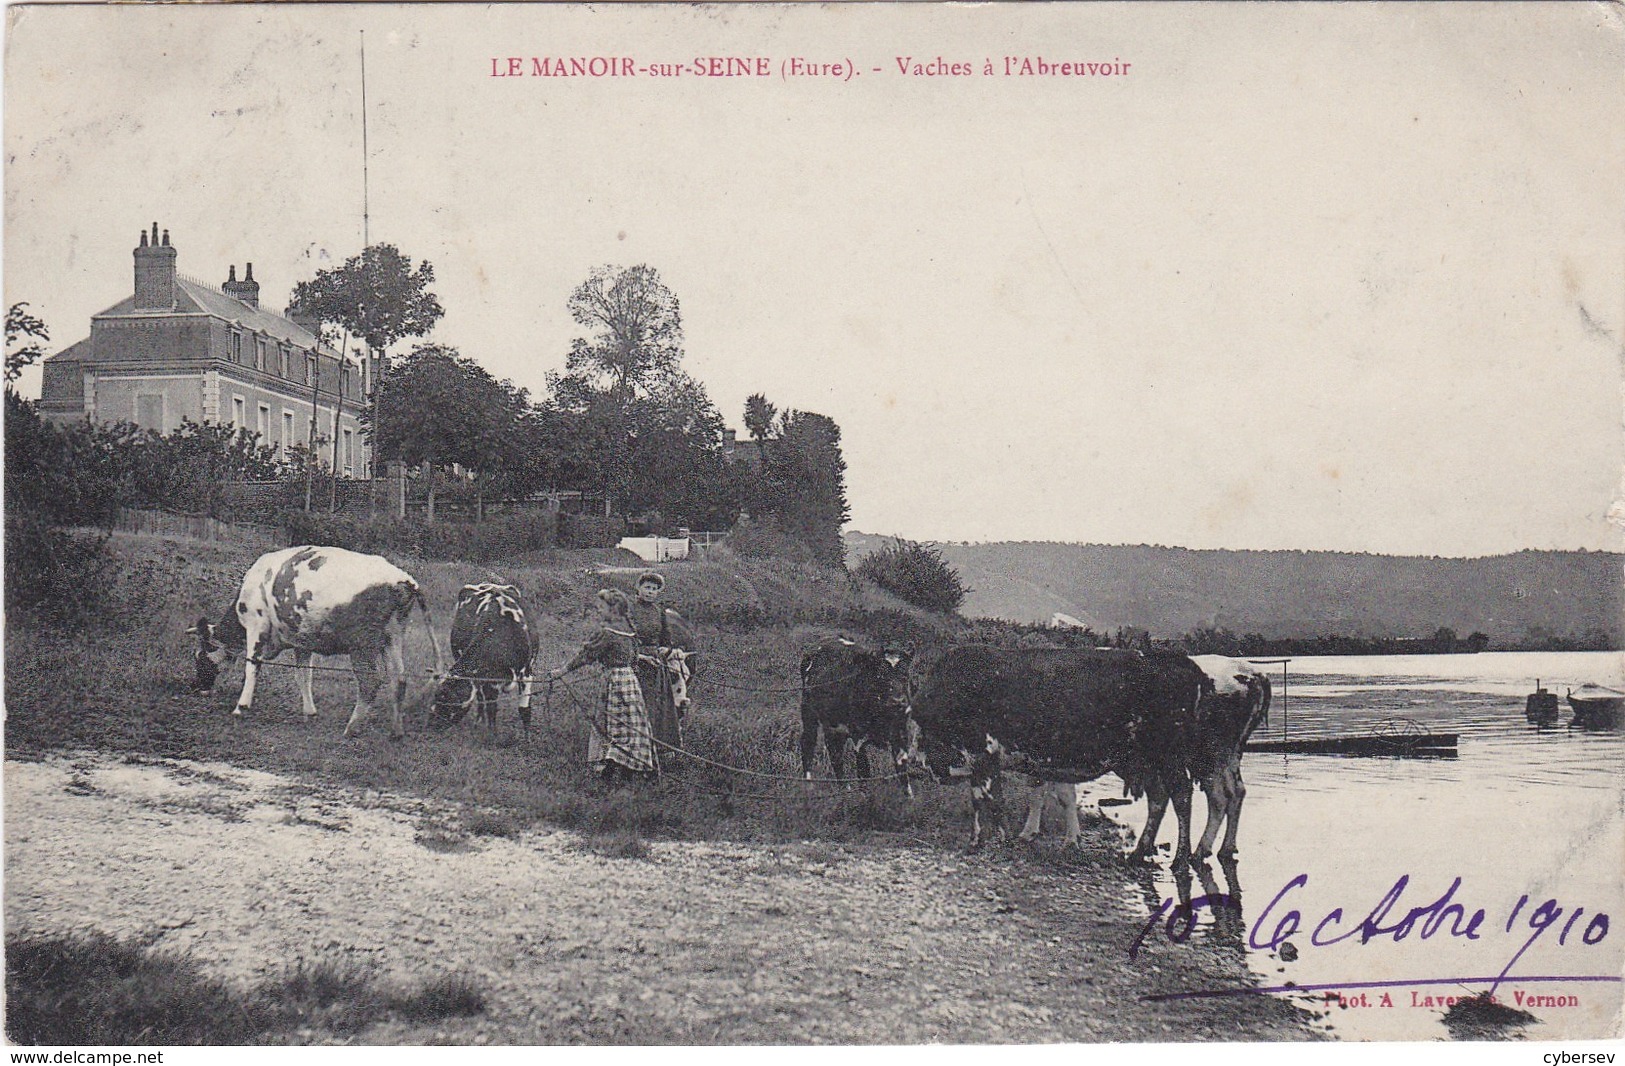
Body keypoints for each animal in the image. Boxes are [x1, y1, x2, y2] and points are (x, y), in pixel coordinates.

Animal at [219, 546, 445, 737]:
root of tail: (404, 579)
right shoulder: (302, 642)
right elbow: (303, 676)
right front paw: (309, 712)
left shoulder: (256, 625)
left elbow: (252, 665)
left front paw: (241, 707)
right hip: (393, 637)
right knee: (399, 679)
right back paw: (396, 731)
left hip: (361, 645)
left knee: (370, 682)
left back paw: (351, 727)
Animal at [910, 640, 1215, 858]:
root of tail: (1181, 662)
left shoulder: (981, 753)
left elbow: (985, 798)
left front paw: (985, 839)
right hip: (1142, 759)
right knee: (1159, 797)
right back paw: (1139, 852)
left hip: (1168, 755)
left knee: (1181, 795)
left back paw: (1181, 857)